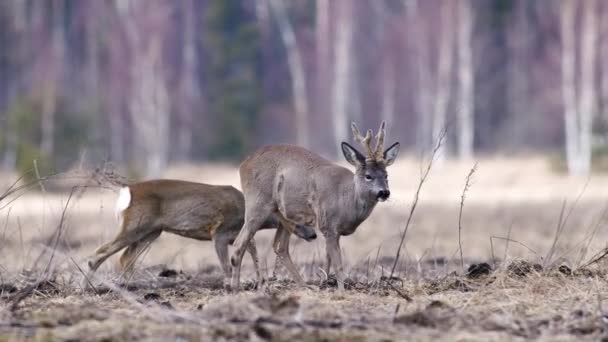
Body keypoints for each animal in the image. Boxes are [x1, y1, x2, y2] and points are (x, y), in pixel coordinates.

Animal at [85, 179, 318, 286]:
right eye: (297, 218)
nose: (313, 235)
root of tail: (127, 191)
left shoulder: (234, 235)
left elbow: (251, 252)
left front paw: (257, 282)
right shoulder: (220, 232)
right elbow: (227, 264)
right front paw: (229, 286)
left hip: (151, 232)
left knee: (126, 258)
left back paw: (130, 286)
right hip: (135, 226)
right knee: (99, 253)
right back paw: (89, 286)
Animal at [232, 121, 400, 290]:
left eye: (386, 175)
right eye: (368, 176)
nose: (384, 192)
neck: (346, 200)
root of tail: (243, 164)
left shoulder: (335, 231)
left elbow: (328, 261)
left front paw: (324, 284)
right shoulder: (328, 225)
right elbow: (338, 264)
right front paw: (341, 290)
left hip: (284, 216)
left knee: (280, 247)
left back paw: (304, 286)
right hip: (257, 203)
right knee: (239, 245)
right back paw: (235, 288)